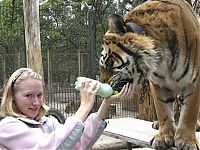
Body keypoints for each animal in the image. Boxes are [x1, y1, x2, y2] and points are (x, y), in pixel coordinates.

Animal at [99, 0, 200, 149]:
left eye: (109, 62)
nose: (102, 86)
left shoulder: (194, 81)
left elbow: (189, 113)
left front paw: (187, 141)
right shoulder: (159, 84)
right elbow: (163, 110)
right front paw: (163, 136)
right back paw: (157, 124)